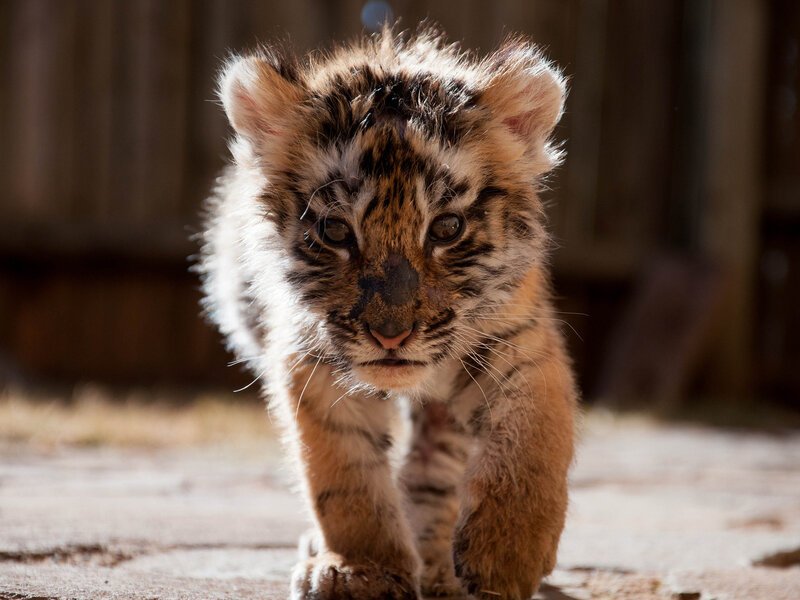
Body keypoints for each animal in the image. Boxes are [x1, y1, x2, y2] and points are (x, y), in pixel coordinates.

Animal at [198, 25, 577, 600]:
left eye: (446, 228)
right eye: (335, 231)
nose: (391, 337)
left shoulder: (518, 338)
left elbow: (531, 438)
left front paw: (506, 556)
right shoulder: (310, 360)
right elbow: (344, 473)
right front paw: (361, 569)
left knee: (436, 465)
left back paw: (440, 564)